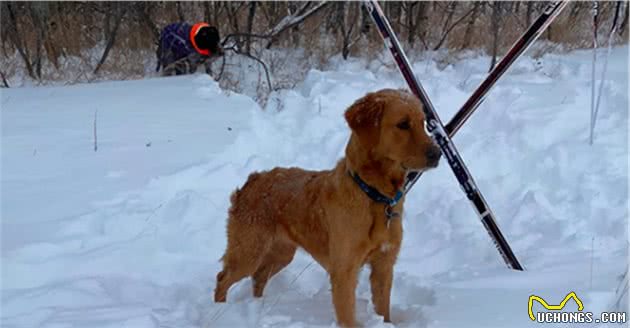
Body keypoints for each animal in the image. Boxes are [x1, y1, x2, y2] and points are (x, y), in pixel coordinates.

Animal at [215, 88, 442, 326]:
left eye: (424, 123)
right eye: (403, 124)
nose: (437, 153)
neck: (375, 196)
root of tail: (252, 180)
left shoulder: (384, 265)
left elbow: (384, 311)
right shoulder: (344, 271)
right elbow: (347, 316)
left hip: (281, 252)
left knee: (259, 276)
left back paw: (258, 306)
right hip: (249, 251)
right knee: (223, 278)